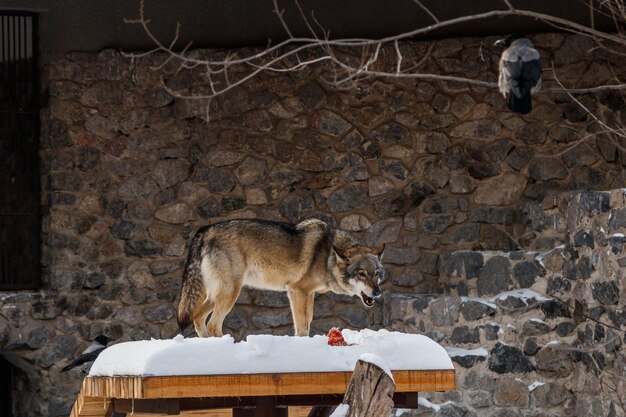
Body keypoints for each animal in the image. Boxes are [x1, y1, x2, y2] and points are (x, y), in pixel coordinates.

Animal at [176, 219, 386, 336]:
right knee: (212, 325)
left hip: (218, 295)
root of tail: (205, 230)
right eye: (361, 274)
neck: (328, 256)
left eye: (376, 273)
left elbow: (308, 321)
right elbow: (302, 326)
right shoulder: (296, 290)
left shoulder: (309, 294)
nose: (377, 292)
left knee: (197, 319)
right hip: (230, 294)